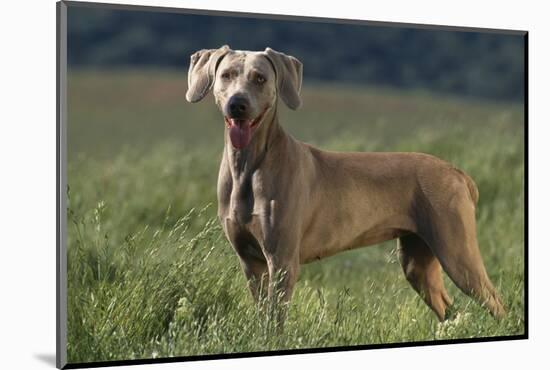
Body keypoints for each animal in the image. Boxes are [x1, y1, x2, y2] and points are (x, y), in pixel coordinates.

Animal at [187, 44, 508, 322]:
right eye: (226, 75)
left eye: (259, 78)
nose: (237, 104)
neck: (248, 167)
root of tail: (458, 173)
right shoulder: (250, 262)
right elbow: (261, 316)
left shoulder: (282, 261)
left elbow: (275, 322)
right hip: (417, 260)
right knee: (449, 310)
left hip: (457, 251)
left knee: (496, 303)